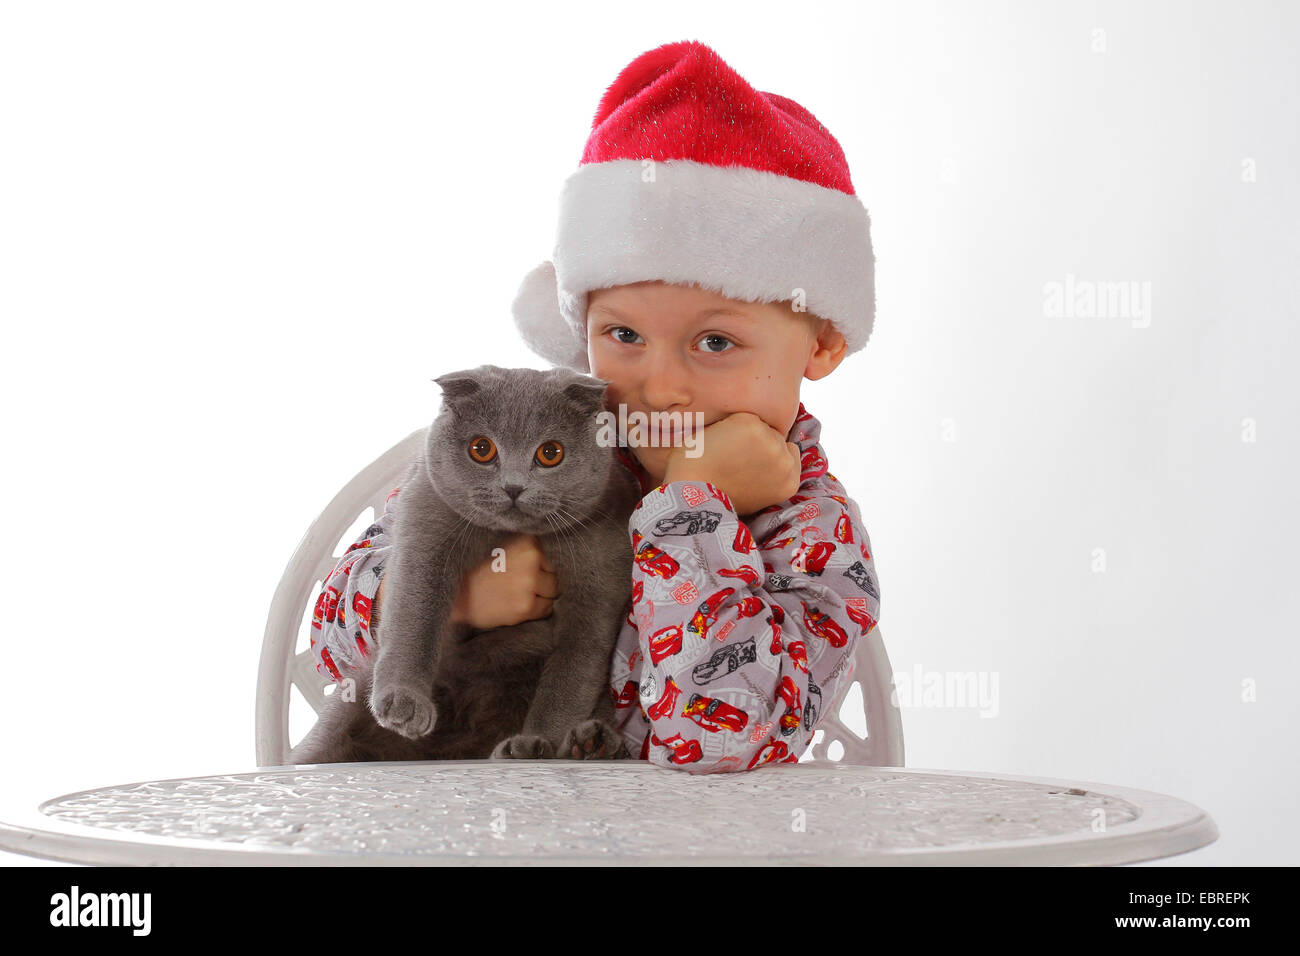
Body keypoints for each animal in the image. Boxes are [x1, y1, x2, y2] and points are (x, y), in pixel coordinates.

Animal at [289, 361, 644, 764]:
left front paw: (539, 740)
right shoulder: (425, 526)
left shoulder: (600, 578)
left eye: (550, 452)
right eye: (481, 449)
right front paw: (404, 701)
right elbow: (415, 614)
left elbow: (571, 673)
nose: (513, 487)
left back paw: (578, 745)